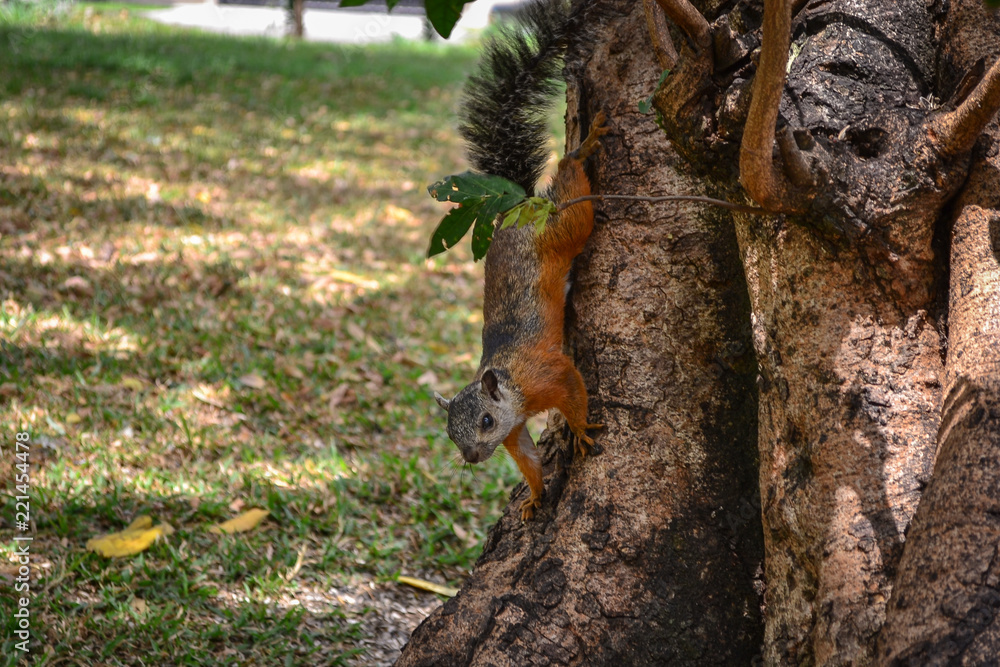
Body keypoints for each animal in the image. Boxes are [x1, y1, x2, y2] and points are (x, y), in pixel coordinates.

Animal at [433, 0, 607, 521]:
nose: (471, 457)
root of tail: (518, 211)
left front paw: (581, 430)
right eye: (450, 433)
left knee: (572, 193)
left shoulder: (547, 376)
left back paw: (582, 149)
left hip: (566, 230)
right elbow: (527, 458)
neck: (510, 388)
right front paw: (533, 496)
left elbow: (574, 390)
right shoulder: (515, 433)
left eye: (486, 420)